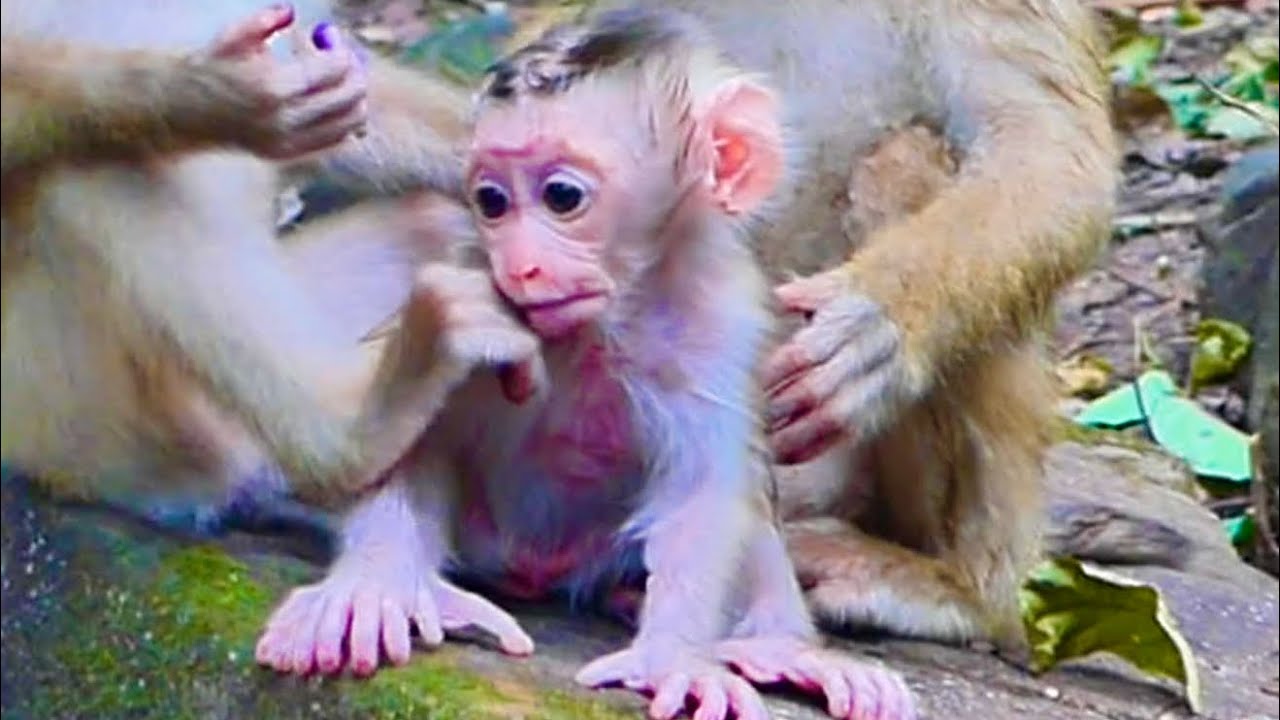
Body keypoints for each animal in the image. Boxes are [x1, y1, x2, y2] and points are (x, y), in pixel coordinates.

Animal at [256, 10, 916, 720]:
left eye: (562, 196)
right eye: (492, 201)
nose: (521, 267)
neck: (609, 314)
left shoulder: (723, 318)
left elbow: (704, 490)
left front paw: (670, 656)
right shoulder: (462, 272)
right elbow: (415, 435)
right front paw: (373, 587)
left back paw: (779, 646)